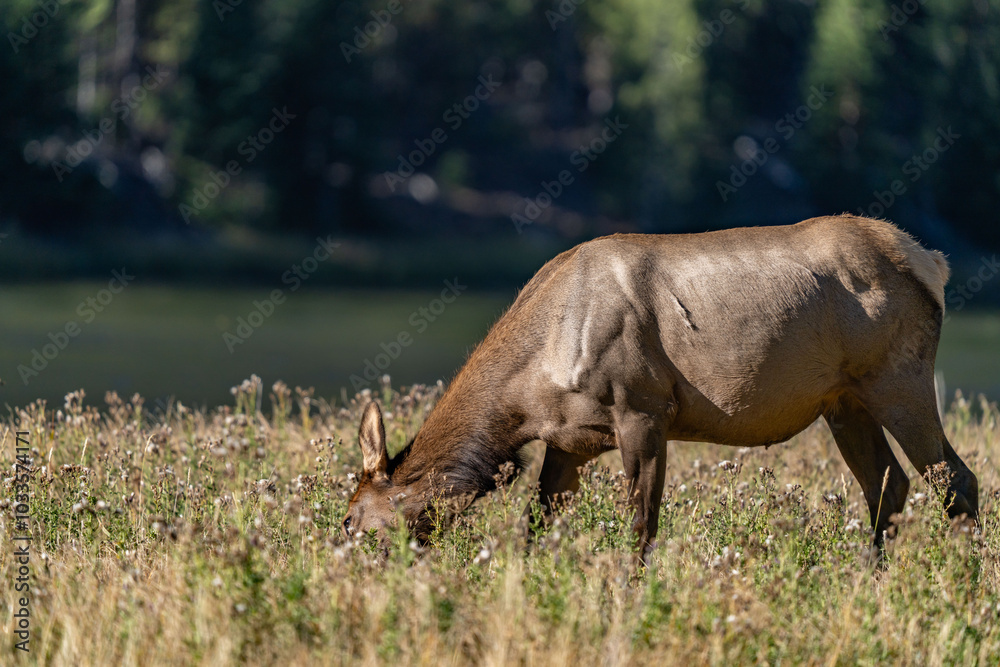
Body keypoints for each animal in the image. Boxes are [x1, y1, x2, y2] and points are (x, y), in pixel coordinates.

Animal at [341, 215, 979, 559]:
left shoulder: (644, 409)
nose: (341, 562)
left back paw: (966, 582)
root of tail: (934, 261)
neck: (526, 396)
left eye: (350, 519)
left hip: (898, 378)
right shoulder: (569, 441)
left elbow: (641, 527)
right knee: (889, 485)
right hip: (844, 401)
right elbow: (537, 529)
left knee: (956, 479)